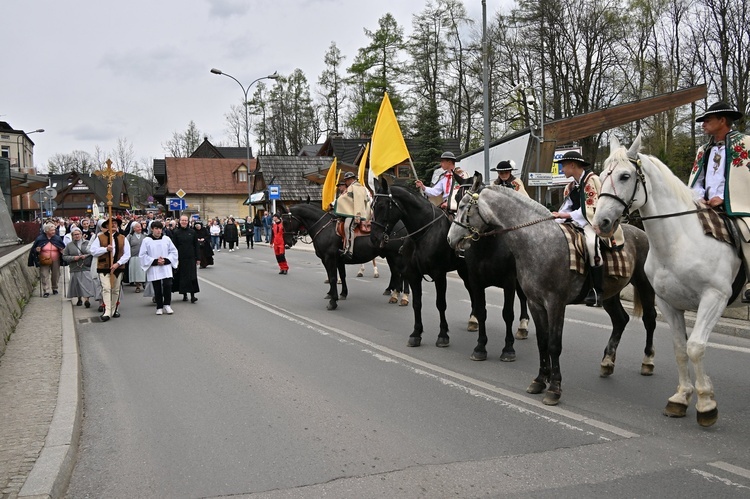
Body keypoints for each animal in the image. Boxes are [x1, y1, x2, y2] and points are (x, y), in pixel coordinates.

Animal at [284, 202, 412, 310]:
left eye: (285, 222)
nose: (288, 242)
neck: (324, 227)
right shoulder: (337, 260)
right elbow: (340, 275)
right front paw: (341, 293)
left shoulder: (329, 259)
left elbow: (333, 277)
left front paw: (333, 301)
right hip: (391, 256)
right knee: (396, 273)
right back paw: (394, 292)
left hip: (396, 256)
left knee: (402, 274)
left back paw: (403, 297)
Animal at [372, 180, 528, 360]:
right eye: (372, 206)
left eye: (382, 205)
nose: (375, 237)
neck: (424, 234)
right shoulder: (414, 275)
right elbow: (417, 304)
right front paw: (416, 334)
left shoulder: (439, 274)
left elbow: (441, 304)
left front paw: (442, 335)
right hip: (465, 273)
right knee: (472, 293)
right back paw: (473, 320)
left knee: (522, 296)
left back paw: (523, 325)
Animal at [446, 175, 656, 406]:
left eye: (463, 206)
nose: (450, 239)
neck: (538, 241)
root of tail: (641, 233)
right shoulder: (535, 303)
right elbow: (542, 342)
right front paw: (539, 380)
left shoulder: (555, 304)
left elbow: (554, 344)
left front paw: (554, 388)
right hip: (610, 295)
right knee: (620, 320)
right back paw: (607, 362)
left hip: (645, 285)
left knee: (650, 320)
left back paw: (647, 361)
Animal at [592, 135, 748, 428]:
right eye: (603, 175)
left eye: (625, 176)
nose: (601, 223)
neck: (679, 241)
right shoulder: (669, 302)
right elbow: (680, 348)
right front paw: (681, 397)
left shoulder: (714, 298)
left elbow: (695, 346)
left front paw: (706, 403)